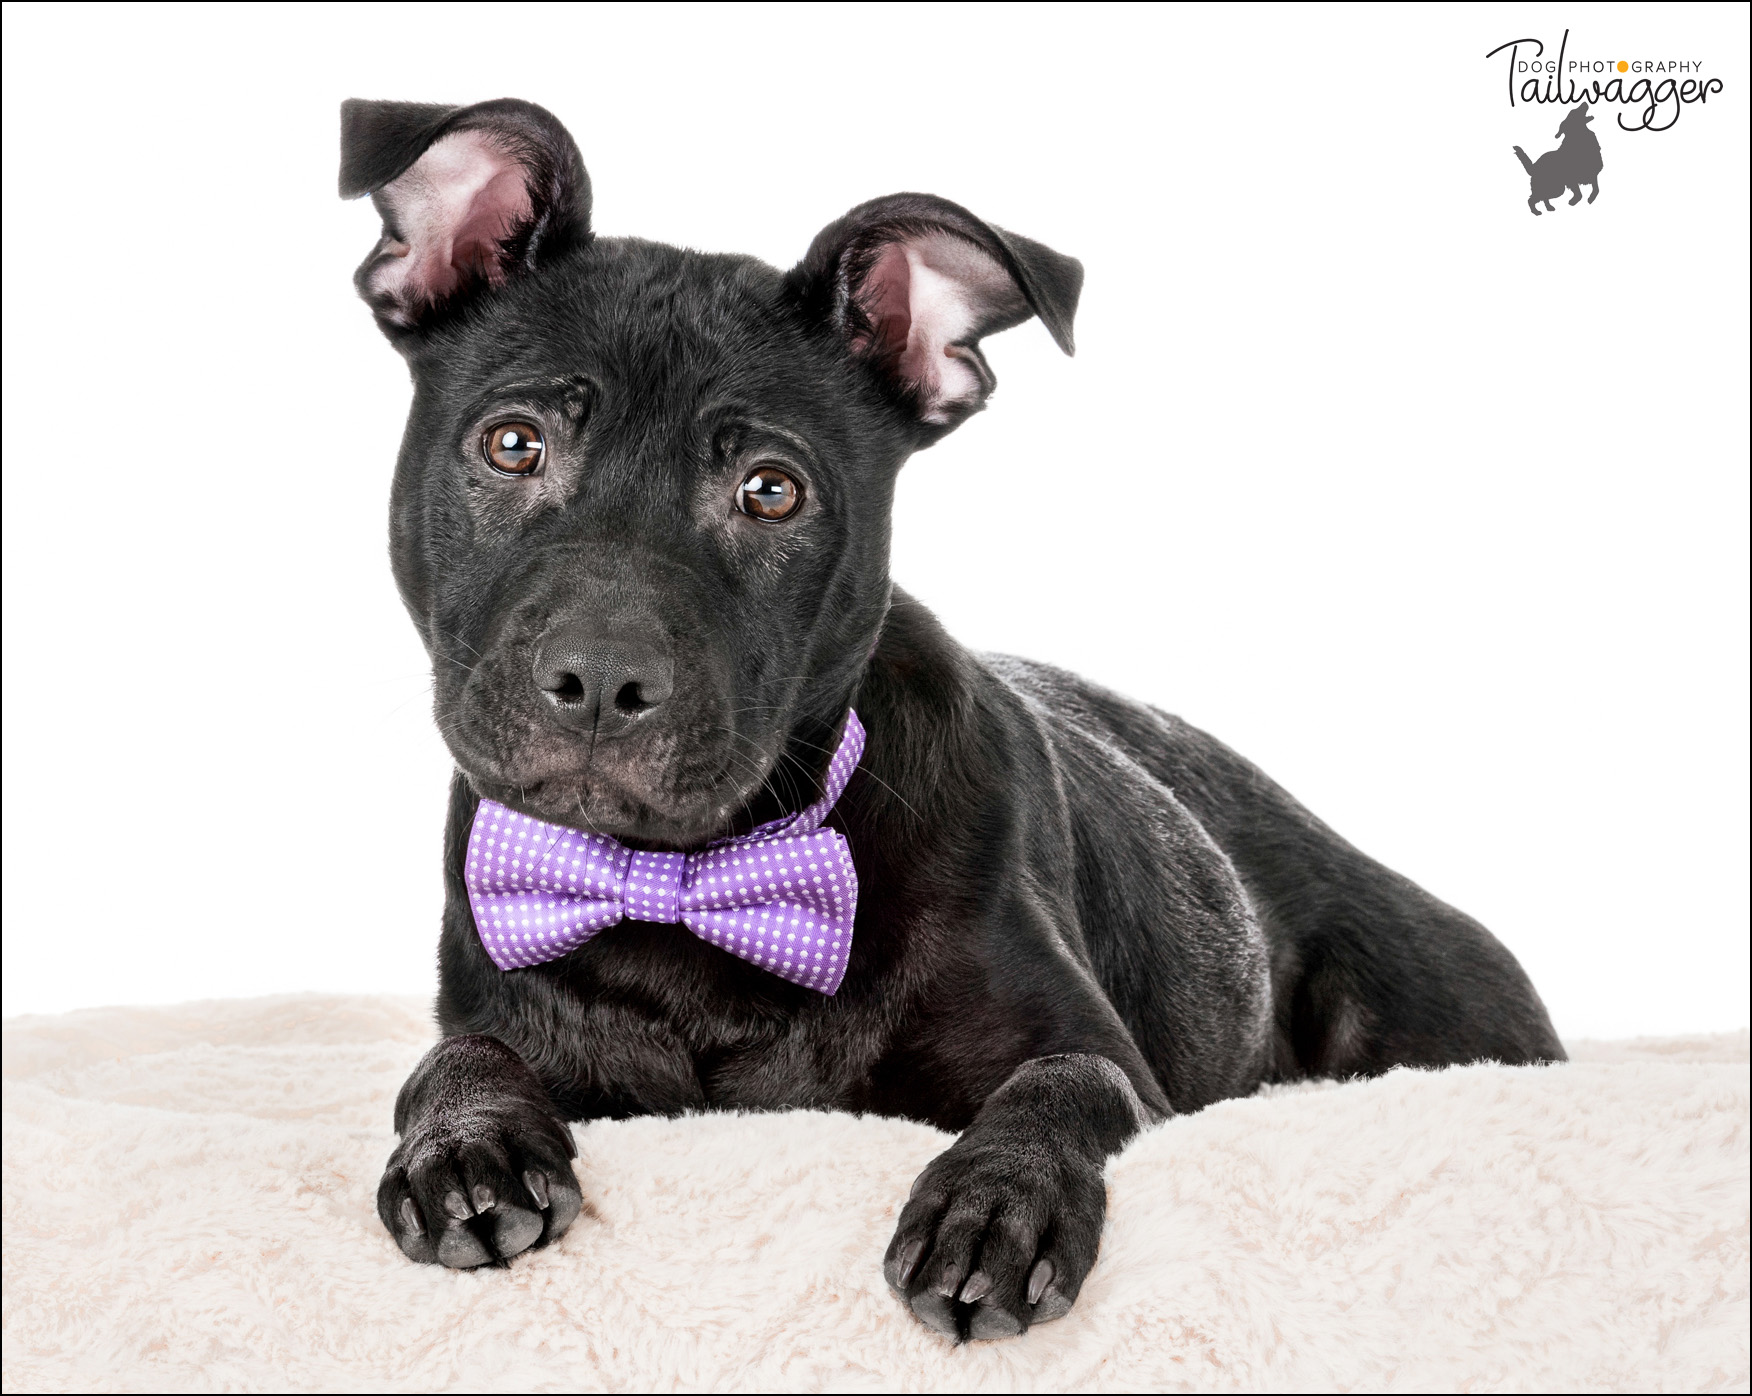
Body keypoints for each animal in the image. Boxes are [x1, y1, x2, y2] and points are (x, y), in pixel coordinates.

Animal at [338, 95, 1562, 1338]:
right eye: (513, 443)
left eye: (771, 490)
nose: (600, 678)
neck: (686, 887)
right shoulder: (518, 1022)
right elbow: (450, 1058)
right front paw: (464, 1142)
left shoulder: (1105, 1061)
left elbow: (1066, 1083)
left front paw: (996, 1205)